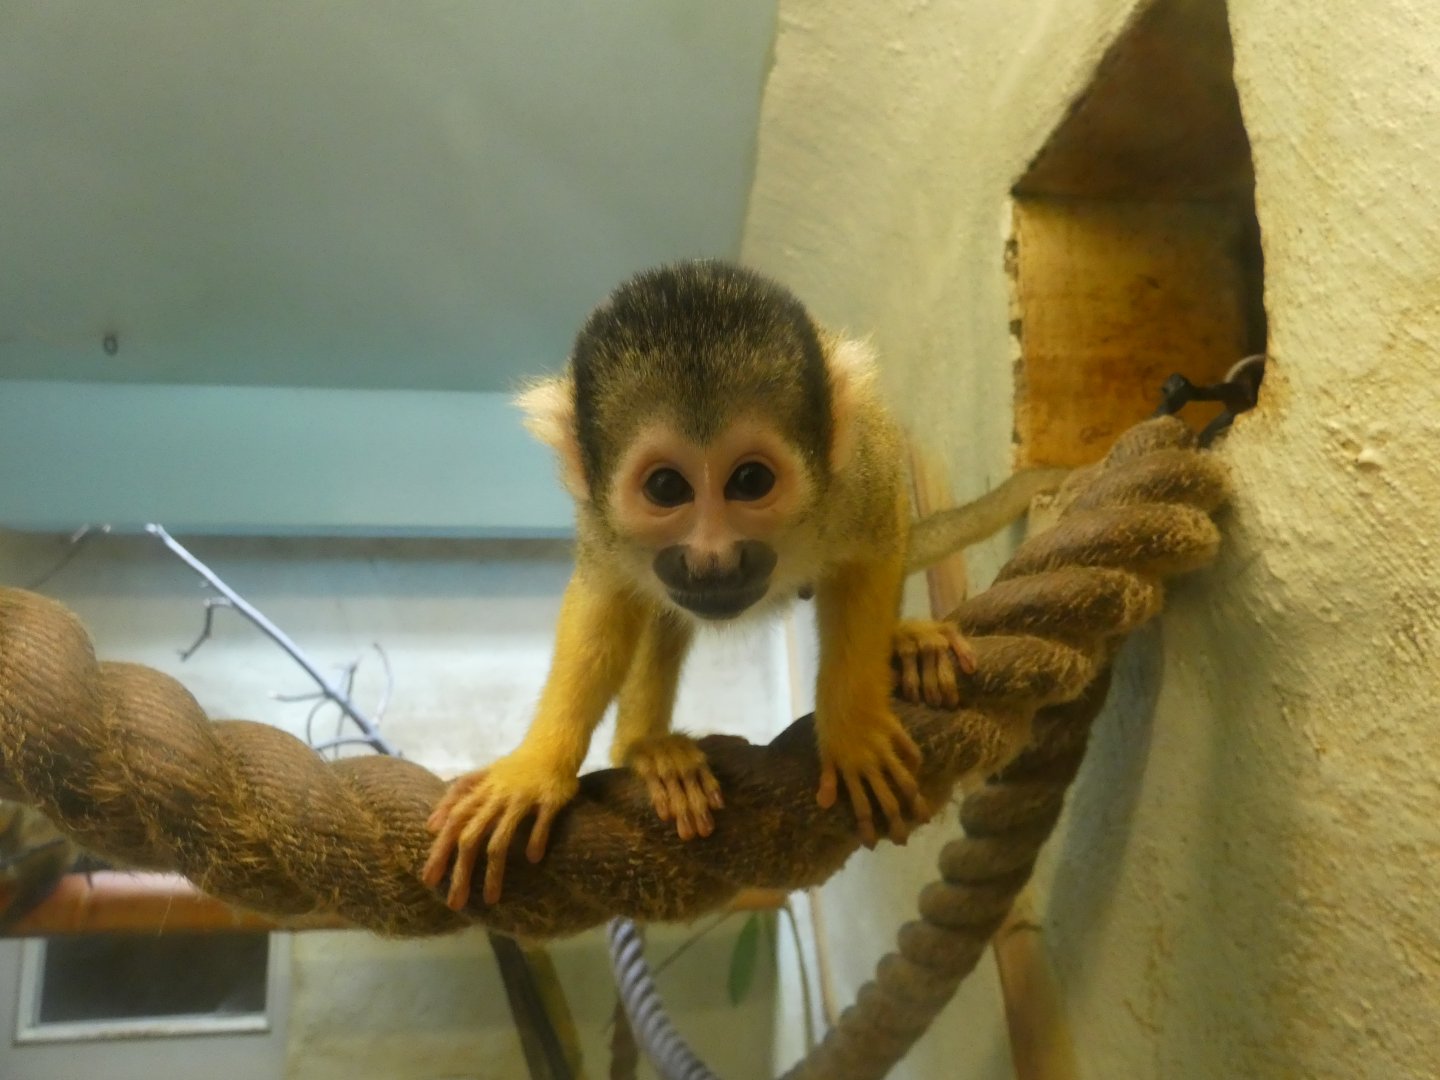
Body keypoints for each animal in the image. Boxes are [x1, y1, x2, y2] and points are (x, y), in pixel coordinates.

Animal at [422, 261, 1067, 909]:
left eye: (750, 481)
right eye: (666, 488)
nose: (714, 559)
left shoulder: (860, 473)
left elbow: (872, 552)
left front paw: (853, 729)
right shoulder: (600, 525)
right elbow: (605, 608)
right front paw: (534, 770)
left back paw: (906, 642)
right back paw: (648, 750)